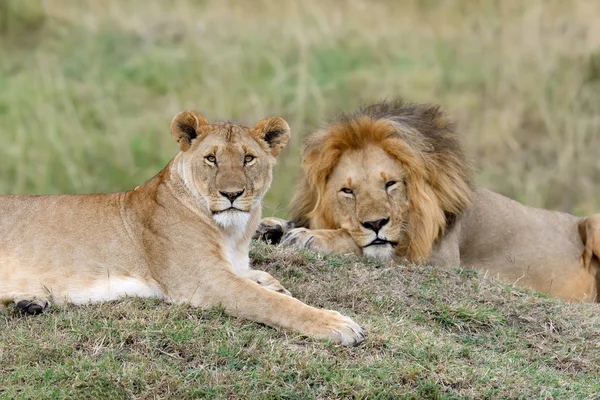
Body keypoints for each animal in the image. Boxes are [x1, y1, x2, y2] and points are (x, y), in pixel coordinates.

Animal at [0, 111, 366, 346]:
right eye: (211, 158)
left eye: (248, 158)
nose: (232, 194)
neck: (233, 232)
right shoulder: (203, 280)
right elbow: (269, 303)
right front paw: (337, 324)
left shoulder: (228, 267)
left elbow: (260, 279)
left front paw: (273, 283)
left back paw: (31, 302)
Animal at [256, 101, 600, 304]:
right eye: (348, 191)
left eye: (391, 184)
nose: (376, 224)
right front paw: (270, 227)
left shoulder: (436, 260)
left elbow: (358, 243)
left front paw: (310, 237)